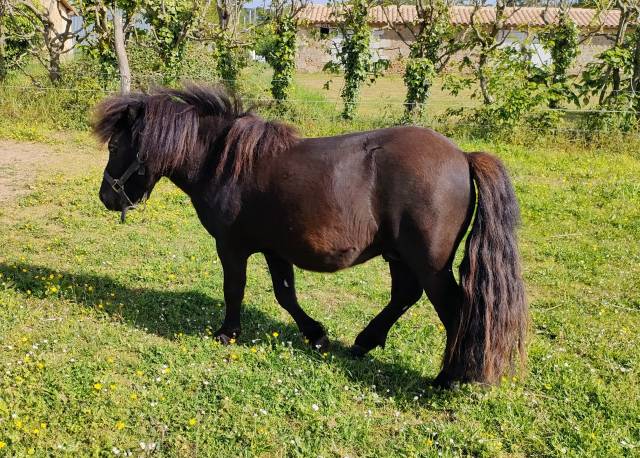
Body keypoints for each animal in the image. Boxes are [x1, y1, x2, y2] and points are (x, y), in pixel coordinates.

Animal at [94, 84, 527, 387]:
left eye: (115, 144)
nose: (106, 197)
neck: (224, 162)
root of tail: (464, 157)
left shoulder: (232, 246)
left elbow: (234, 289)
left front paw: (227, 333)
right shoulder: (274, 248)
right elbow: (286, 294)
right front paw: (316, 335)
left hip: (429, 263)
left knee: (453, 309)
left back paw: (447, 377)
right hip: (400, 255)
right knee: (405, 296)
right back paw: (365, 342)